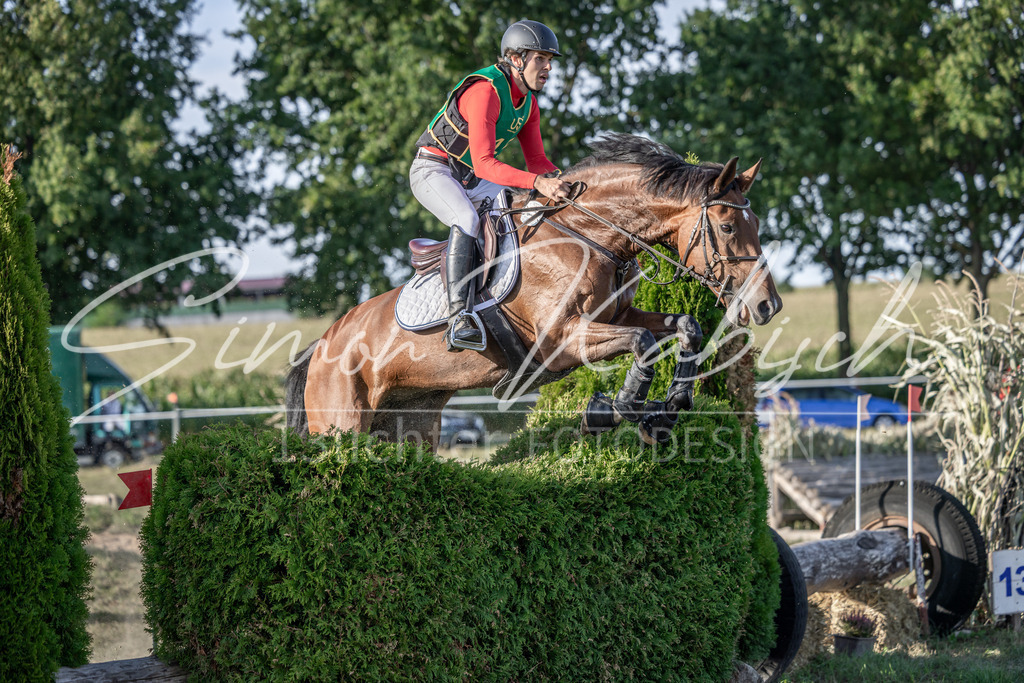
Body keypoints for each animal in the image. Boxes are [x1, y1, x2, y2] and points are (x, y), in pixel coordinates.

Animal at [285, 134, 782, 448]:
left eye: (756, 223)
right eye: (727, 226)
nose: (767, 306)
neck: (588, 235)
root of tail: (323, 345)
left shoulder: (616, 317)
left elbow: (686, 327)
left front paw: (668, 409)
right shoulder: (563, 339)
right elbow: (642, 342)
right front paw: (611, 411)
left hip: (411, 424)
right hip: (343, 421)